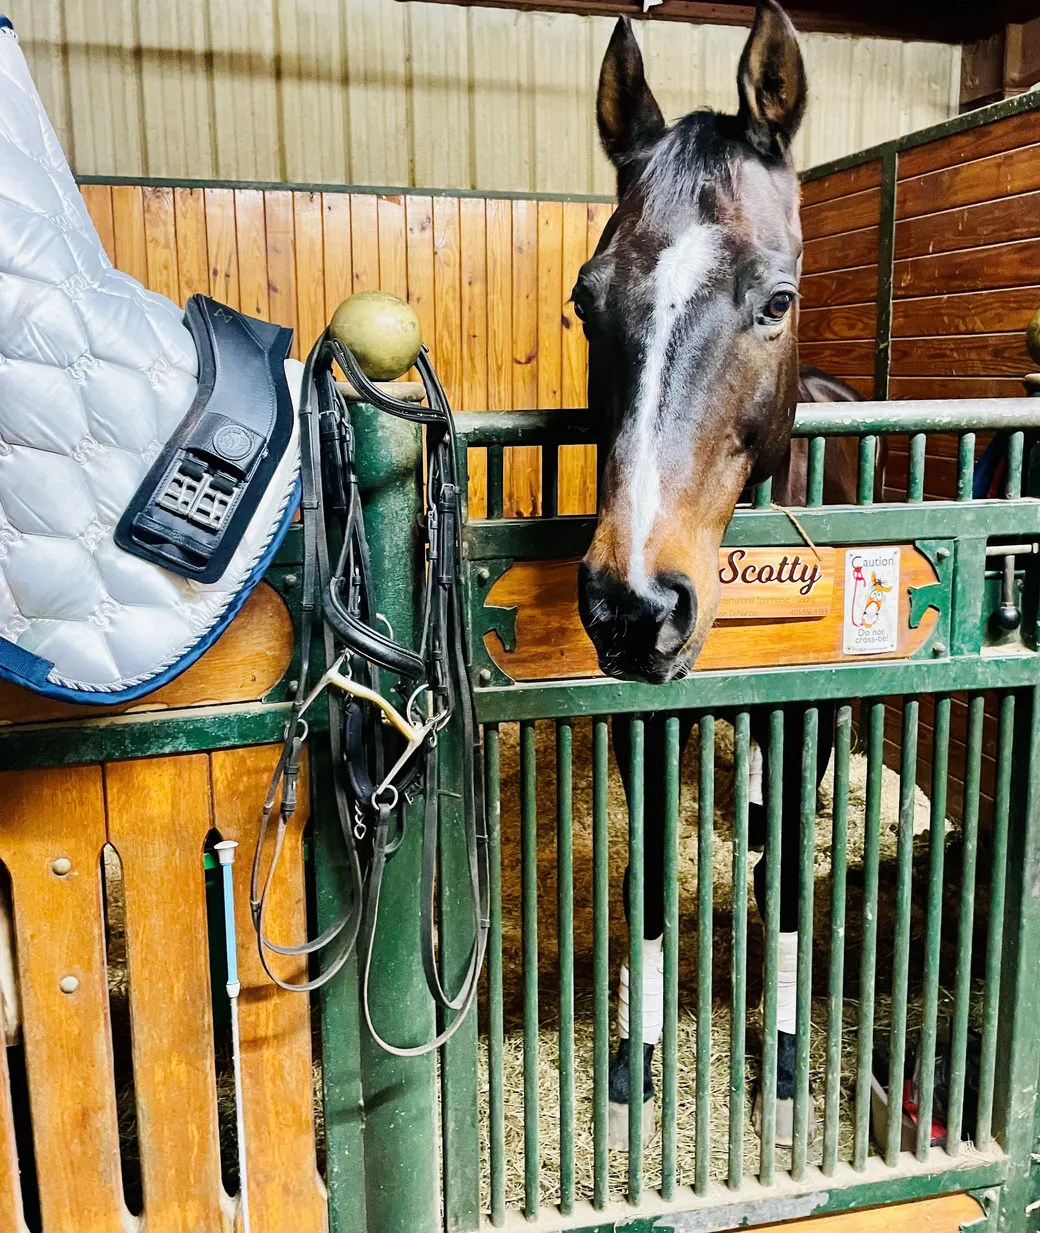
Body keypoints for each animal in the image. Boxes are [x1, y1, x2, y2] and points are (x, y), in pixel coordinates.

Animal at [573, 1, 865, 1150]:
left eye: (776, 298)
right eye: (585, 301)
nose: (633, 605)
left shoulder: (805, 709)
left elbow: (784, 881)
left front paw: (780, 1069)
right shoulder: (642, 729)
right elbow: (650, 879)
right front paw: (632, 1067)